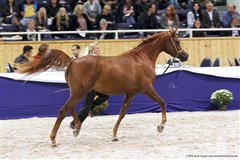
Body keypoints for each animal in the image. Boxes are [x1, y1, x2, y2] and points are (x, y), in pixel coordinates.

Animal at [17, 28, 188, 146]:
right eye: (177, 41)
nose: (185, 56)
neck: (141, 59)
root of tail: (73, 60)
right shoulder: (146, 88)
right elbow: (162, 102)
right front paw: (161, 126)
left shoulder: (131, 92)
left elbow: (122, 113)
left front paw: (114, 135)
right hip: (79, 92)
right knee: (63, 110)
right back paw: (54, 140)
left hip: (77, 92)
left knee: (71, 108)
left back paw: (76, 127)